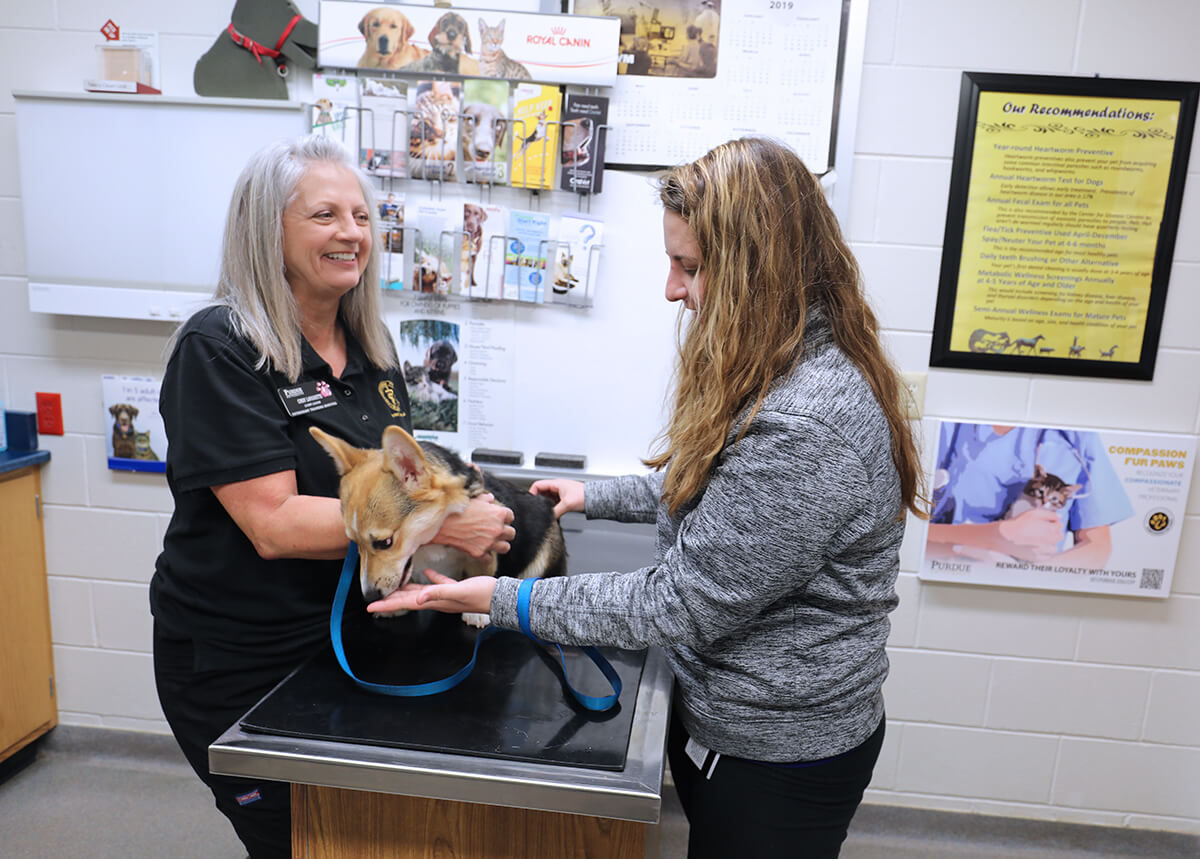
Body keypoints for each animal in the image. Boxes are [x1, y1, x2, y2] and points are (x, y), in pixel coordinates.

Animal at [309, 427, 561, 628]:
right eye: (354, 542)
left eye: (385, 542)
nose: (370, 597)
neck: (429, 541)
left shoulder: (487, 548)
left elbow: (480, 572)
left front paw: (476, 612)